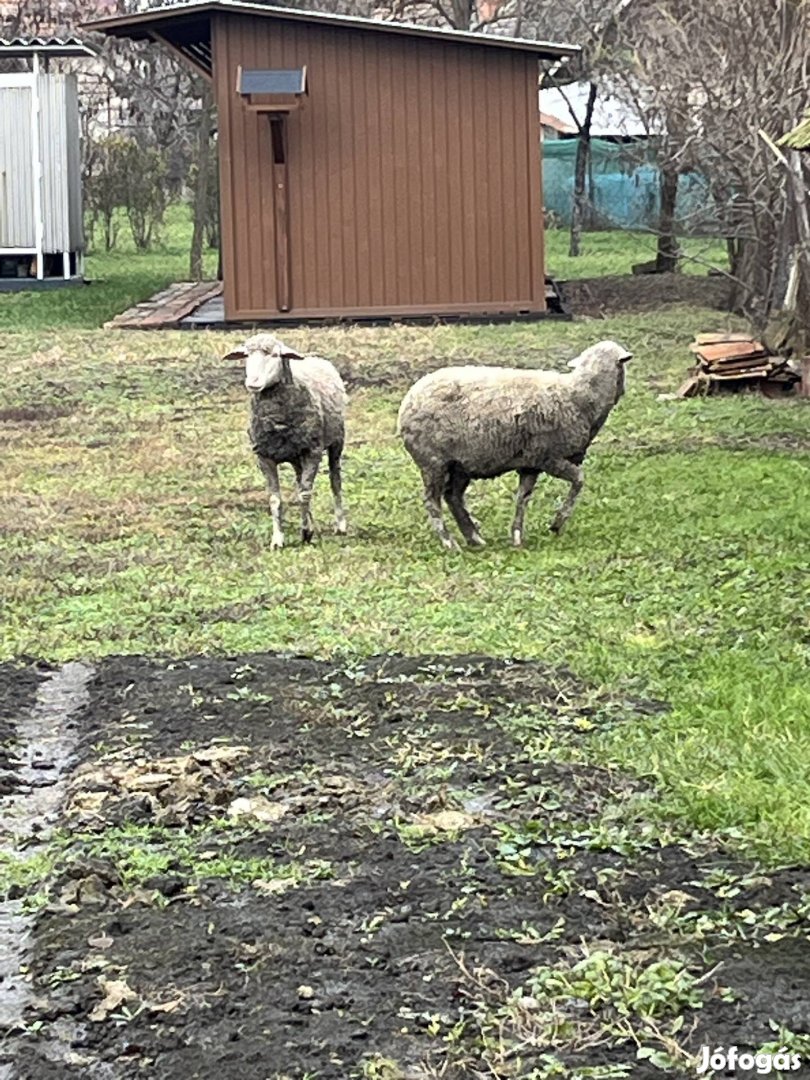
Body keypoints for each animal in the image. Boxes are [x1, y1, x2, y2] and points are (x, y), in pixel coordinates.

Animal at [223, 332, 347, 548]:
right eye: (246, 355)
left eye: (274, 355)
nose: (253, 383)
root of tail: (316, 357)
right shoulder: (264, 457)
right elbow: (276, 500)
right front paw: (278, 539)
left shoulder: (312, 451)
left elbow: (305, 494)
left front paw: (306, 532)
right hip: (296, 456)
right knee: (300, 481)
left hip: (336, 442)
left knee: (335, 480)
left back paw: (340, 524)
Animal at [397, 341, 635, 552]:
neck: (582, 395)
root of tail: (408, 400)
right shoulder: (549, 457)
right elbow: (579, 480)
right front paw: (557, 523)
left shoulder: (531, 464)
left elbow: (522, 498)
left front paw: (517, 536)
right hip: (432, 462)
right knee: (432, 501)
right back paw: (449, 543)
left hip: (459, 465)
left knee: (453, 497)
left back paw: (474, 538)